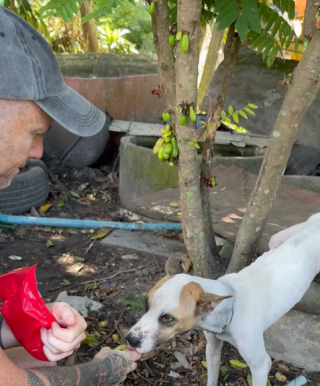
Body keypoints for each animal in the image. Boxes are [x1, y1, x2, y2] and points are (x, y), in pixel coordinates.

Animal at [126, 213, 320, 386]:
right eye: (146, 304)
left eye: (167, 318)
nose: (130, 340)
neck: (231, 303)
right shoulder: (212, 347)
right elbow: (212, 377)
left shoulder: (260, 366)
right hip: (276, 239)